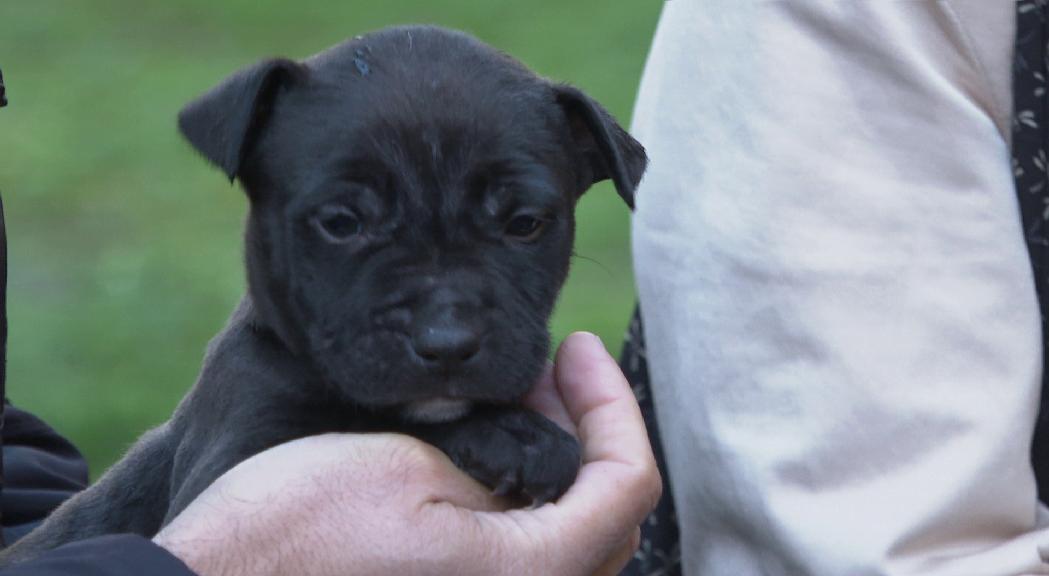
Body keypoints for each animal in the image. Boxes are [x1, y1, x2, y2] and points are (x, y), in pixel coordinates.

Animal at [0, 24, 641, 562]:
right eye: (341, 222)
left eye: (524, 223)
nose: (447, 341)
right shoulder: (232, 459)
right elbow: (373, 420)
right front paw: (513, 435)